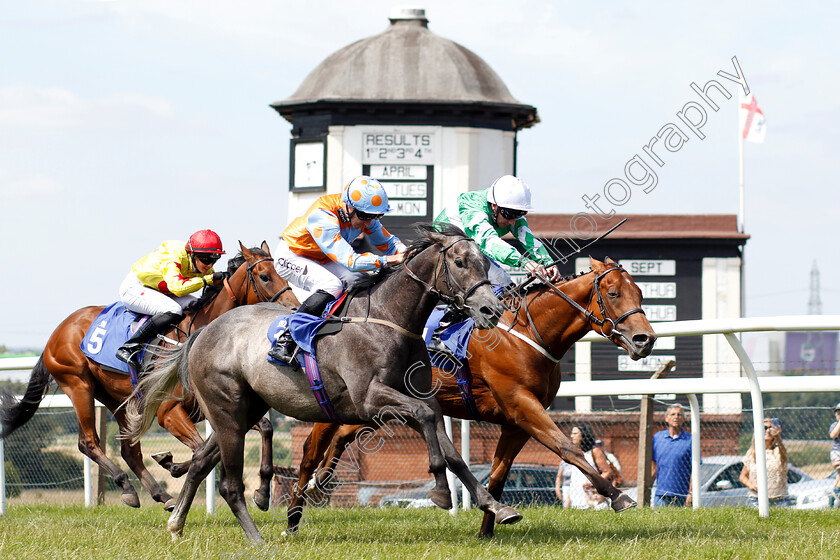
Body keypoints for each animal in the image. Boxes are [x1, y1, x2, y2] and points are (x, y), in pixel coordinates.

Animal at [0, 241, 298, 512]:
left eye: (284, 274)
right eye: (264, 276)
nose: (294, 309)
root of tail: (57, 332)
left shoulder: (218, 408)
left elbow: (265, 429)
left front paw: (262, 492)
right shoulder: (169, 412)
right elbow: (200, 450)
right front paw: (173, 464)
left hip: (121, 399)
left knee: (129, 451)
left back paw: (160, 495)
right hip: (78, 385)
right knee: (88, 442)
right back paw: (128, 487)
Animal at [124, 223, 520, 544]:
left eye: (485, 263)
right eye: (460, 262)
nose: (491, 311)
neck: (387, 318)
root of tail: (203, 332)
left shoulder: (409, 396)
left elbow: (447, 441)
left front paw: (494, 506)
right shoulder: (370, 399)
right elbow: (425, 418)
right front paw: (440, 491)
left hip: (241, 410)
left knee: (201, 461)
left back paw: (177, 524)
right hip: (227, 409)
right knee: (228, 484)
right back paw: (257, 540)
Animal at [292, 256, 660, 536]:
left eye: (640, 292)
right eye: (613, 293)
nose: (646, 339)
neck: (525, 332)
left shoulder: (515, 422)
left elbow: (497, 476)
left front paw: (489, 526)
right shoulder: (522, 404)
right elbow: (567, 448)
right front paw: (617, 496)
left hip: (379, 406)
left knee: (342, 435)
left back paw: (321, 481)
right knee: (312, 449)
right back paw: (296, 510)